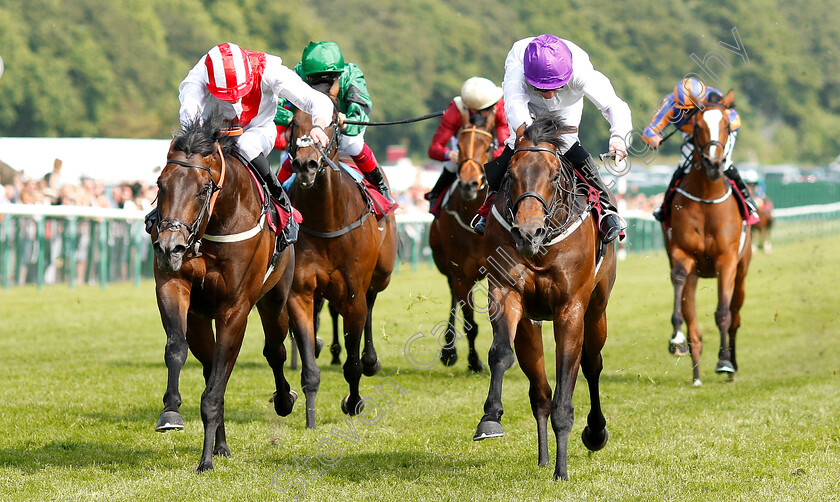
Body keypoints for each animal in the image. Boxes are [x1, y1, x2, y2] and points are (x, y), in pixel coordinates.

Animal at [153, 111, 296, 474]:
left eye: (204, 189)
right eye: (161, 184)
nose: (169, 247)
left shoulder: (235, 310)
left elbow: (216, 388)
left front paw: (204, 461)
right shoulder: (174, 287)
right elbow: (177, 348)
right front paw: (171, 412)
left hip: (274, 301)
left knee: (275, 350)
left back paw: (285, 400)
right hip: (202, 318)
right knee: (209, 366)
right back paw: (221, 444)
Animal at [286, 81, 398, 428]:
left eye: (333, 121)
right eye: (293, 121)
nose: (306, 164)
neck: (327, 220)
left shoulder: (352, 294)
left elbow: (353, 363)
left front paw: (354, 401)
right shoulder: (299, 292)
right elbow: (309, 366)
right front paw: (309, 417)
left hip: (381, 273)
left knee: (372, 301)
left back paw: (371, 360)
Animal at [430, 114, 496, 372]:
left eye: (488, 147)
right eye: (459, 145)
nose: (469, 184)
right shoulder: (460, 274)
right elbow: (470, 322)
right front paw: (474, 361)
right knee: (453, 296)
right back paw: (448, 350)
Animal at [472, 114, 616, 482]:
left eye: (553, 174)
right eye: (509, 173)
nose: (527, 233)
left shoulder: (570, 309)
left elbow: (568, 381)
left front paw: (562, 472)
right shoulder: (506, 293)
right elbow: (500, 354)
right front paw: (490, 418)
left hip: (597, 310)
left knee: (592, 364)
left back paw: (594, 432)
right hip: (531, 323)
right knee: (539, 392)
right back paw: (543, 458)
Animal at [664, 90, 756, 386]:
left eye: (726, 125)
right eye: (698, 126)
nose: (715, 164)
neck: (706, 196)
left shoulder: (726, 260)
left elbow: (723, 313)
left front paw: (724, 361)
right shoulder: (682, 255)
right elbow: (679, 286)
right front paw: (676, 339)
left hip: (742, 271)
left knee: (735, 315)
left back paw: (731, 366)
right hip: (696, 274)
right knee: (693, 320)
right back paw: (695, 372)